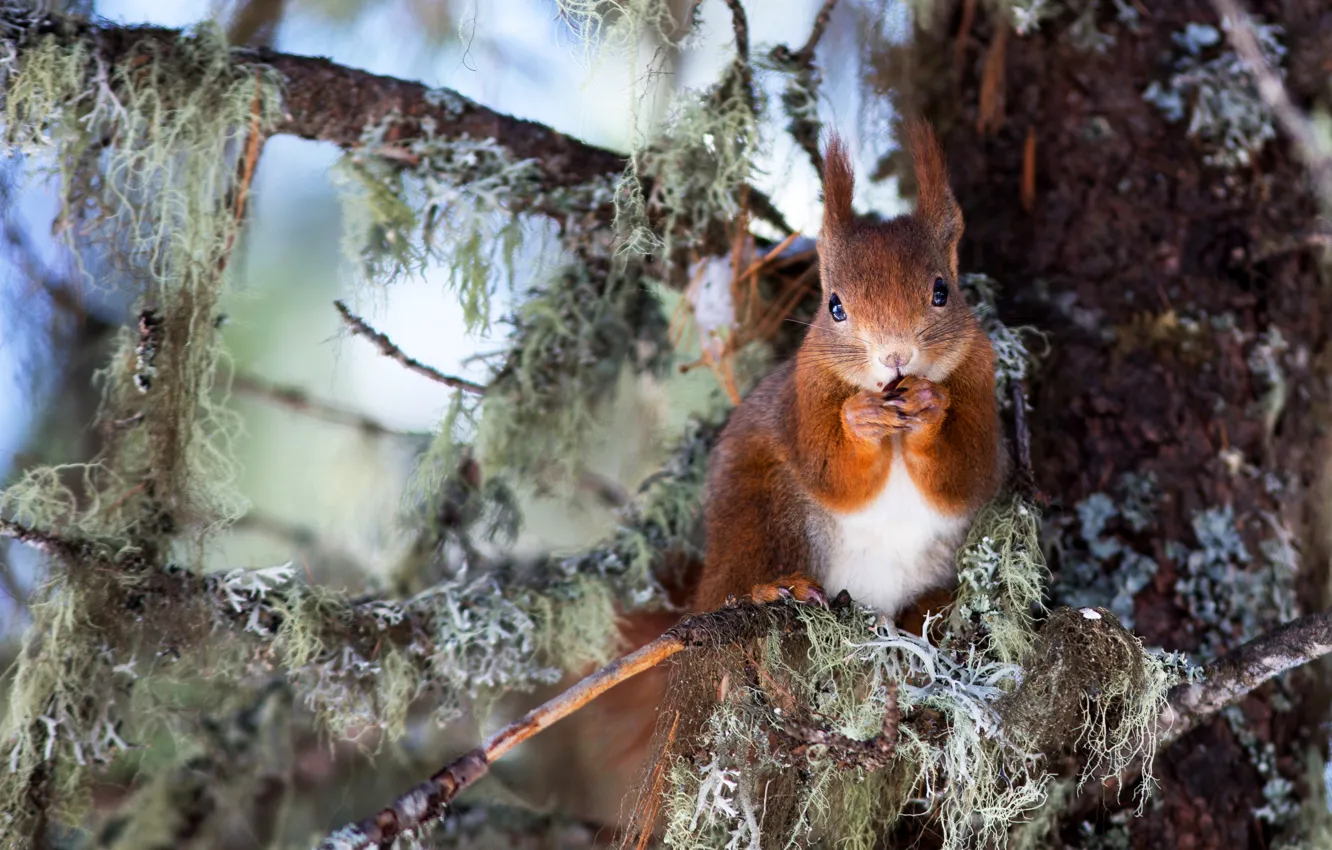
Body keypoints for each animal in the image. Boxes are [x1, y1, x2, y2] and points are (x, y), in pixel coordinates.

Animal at [508, 121, 1001, 842]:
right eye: (834, 307)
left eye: (942, 292)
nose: (895, 358)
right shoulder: (803, 399)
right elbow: (833, 472)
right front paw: (859, 421)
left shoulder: (985, 390)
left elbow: (964, 476)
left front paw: (930, 408)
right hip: (763, 514)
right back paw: (778, 587)